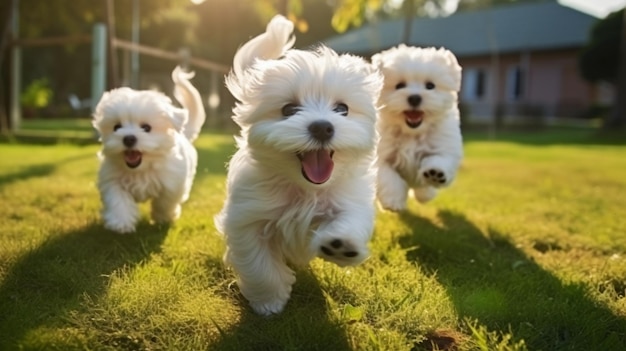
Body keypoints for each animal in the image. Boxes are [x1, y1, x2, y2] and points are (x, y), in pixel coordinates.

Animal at [94, 67, 205, 235]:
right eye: (116, 127)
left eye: (146, 127)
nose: (129, 138)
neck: (141, 170)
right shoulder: (112, 178)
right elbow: (117, 198)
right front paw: (121, 222)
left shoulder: (173, 182)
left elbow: (165, 201)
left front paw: (164, 218)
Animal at [213, 15, 380, 316]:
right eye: (289, 110)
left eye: (342, 109)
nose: (323, 127)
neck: (304, 190)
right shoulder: (249, 216)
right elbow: (259, 265)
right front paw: (268, 302)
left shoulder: (350, 199)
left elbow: (350, 219)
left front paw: (341, 245)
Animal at [370, 46, 464, 212]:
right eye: (400, 85)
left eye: (430, 86)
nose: (414, 97)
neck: (412, 133)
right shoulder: (381, 154)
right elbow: (388, 176)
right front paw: (393, 201)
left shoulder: (444, 144)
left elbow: (441, 158)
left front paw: (435, 173)